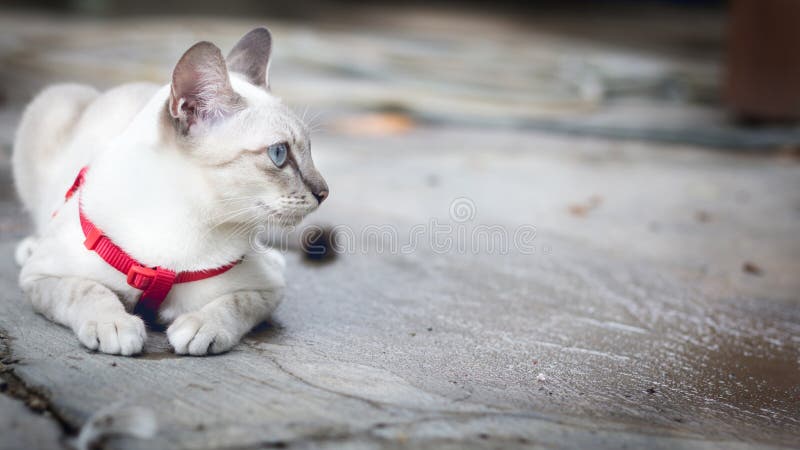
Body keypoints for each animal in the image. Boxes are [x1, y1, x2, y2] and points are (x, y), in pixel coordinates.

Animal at [10, 28, 326, 356]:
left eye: (308, 149)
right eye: (279, 154)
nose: (324, 192)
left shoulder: (266, 288)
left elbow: (235, 303)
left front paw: (200, 328)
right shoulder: (41, 277)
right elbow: (85, 288)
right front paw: (114, 326)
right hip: (51, 103)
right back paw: (31, 244)